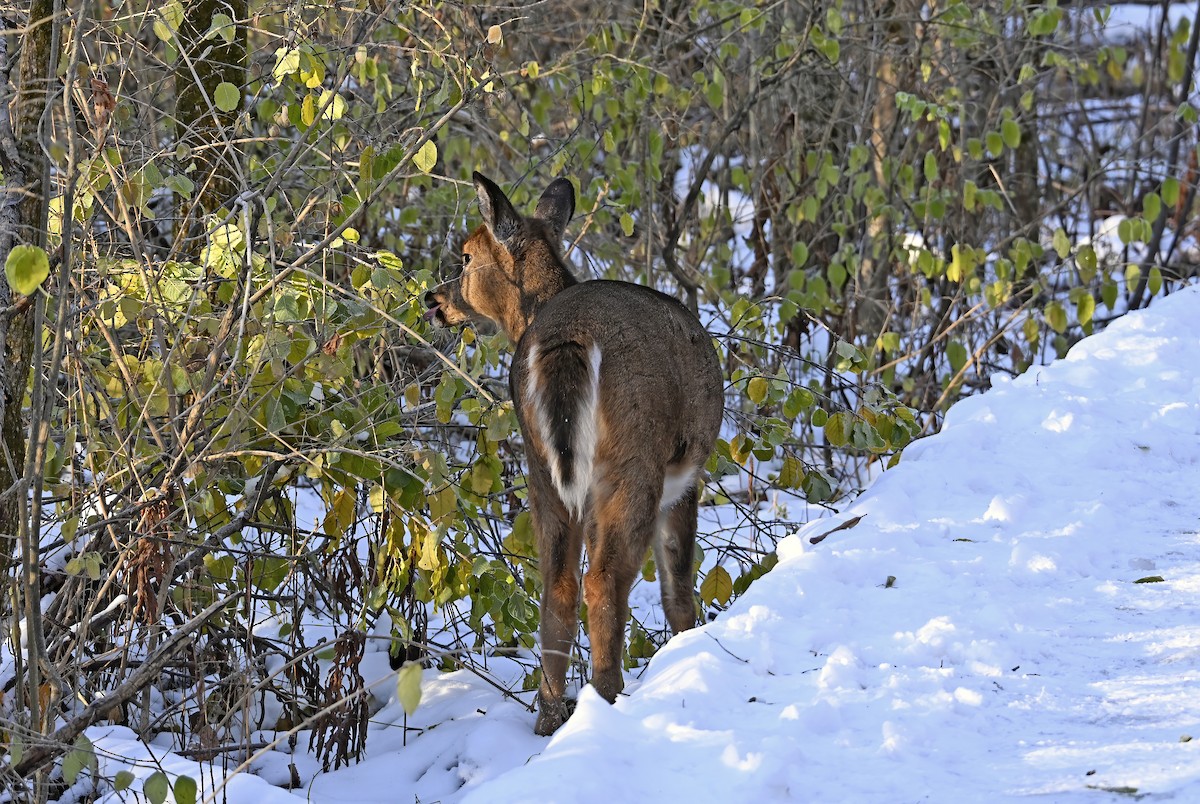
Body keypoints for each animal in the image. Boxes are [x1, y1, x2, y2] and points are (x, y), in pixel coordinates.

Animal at [425, 172, 724, 735]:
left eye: (467, 257)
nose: (435, 299)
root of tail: (566, 338)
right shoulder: (687, 476)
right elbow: (678, 585)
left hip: (541, 468)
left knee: (557, 586)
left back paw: (549, 714)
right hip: (632, 461)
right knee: (604, 580)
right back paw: (607, 695)